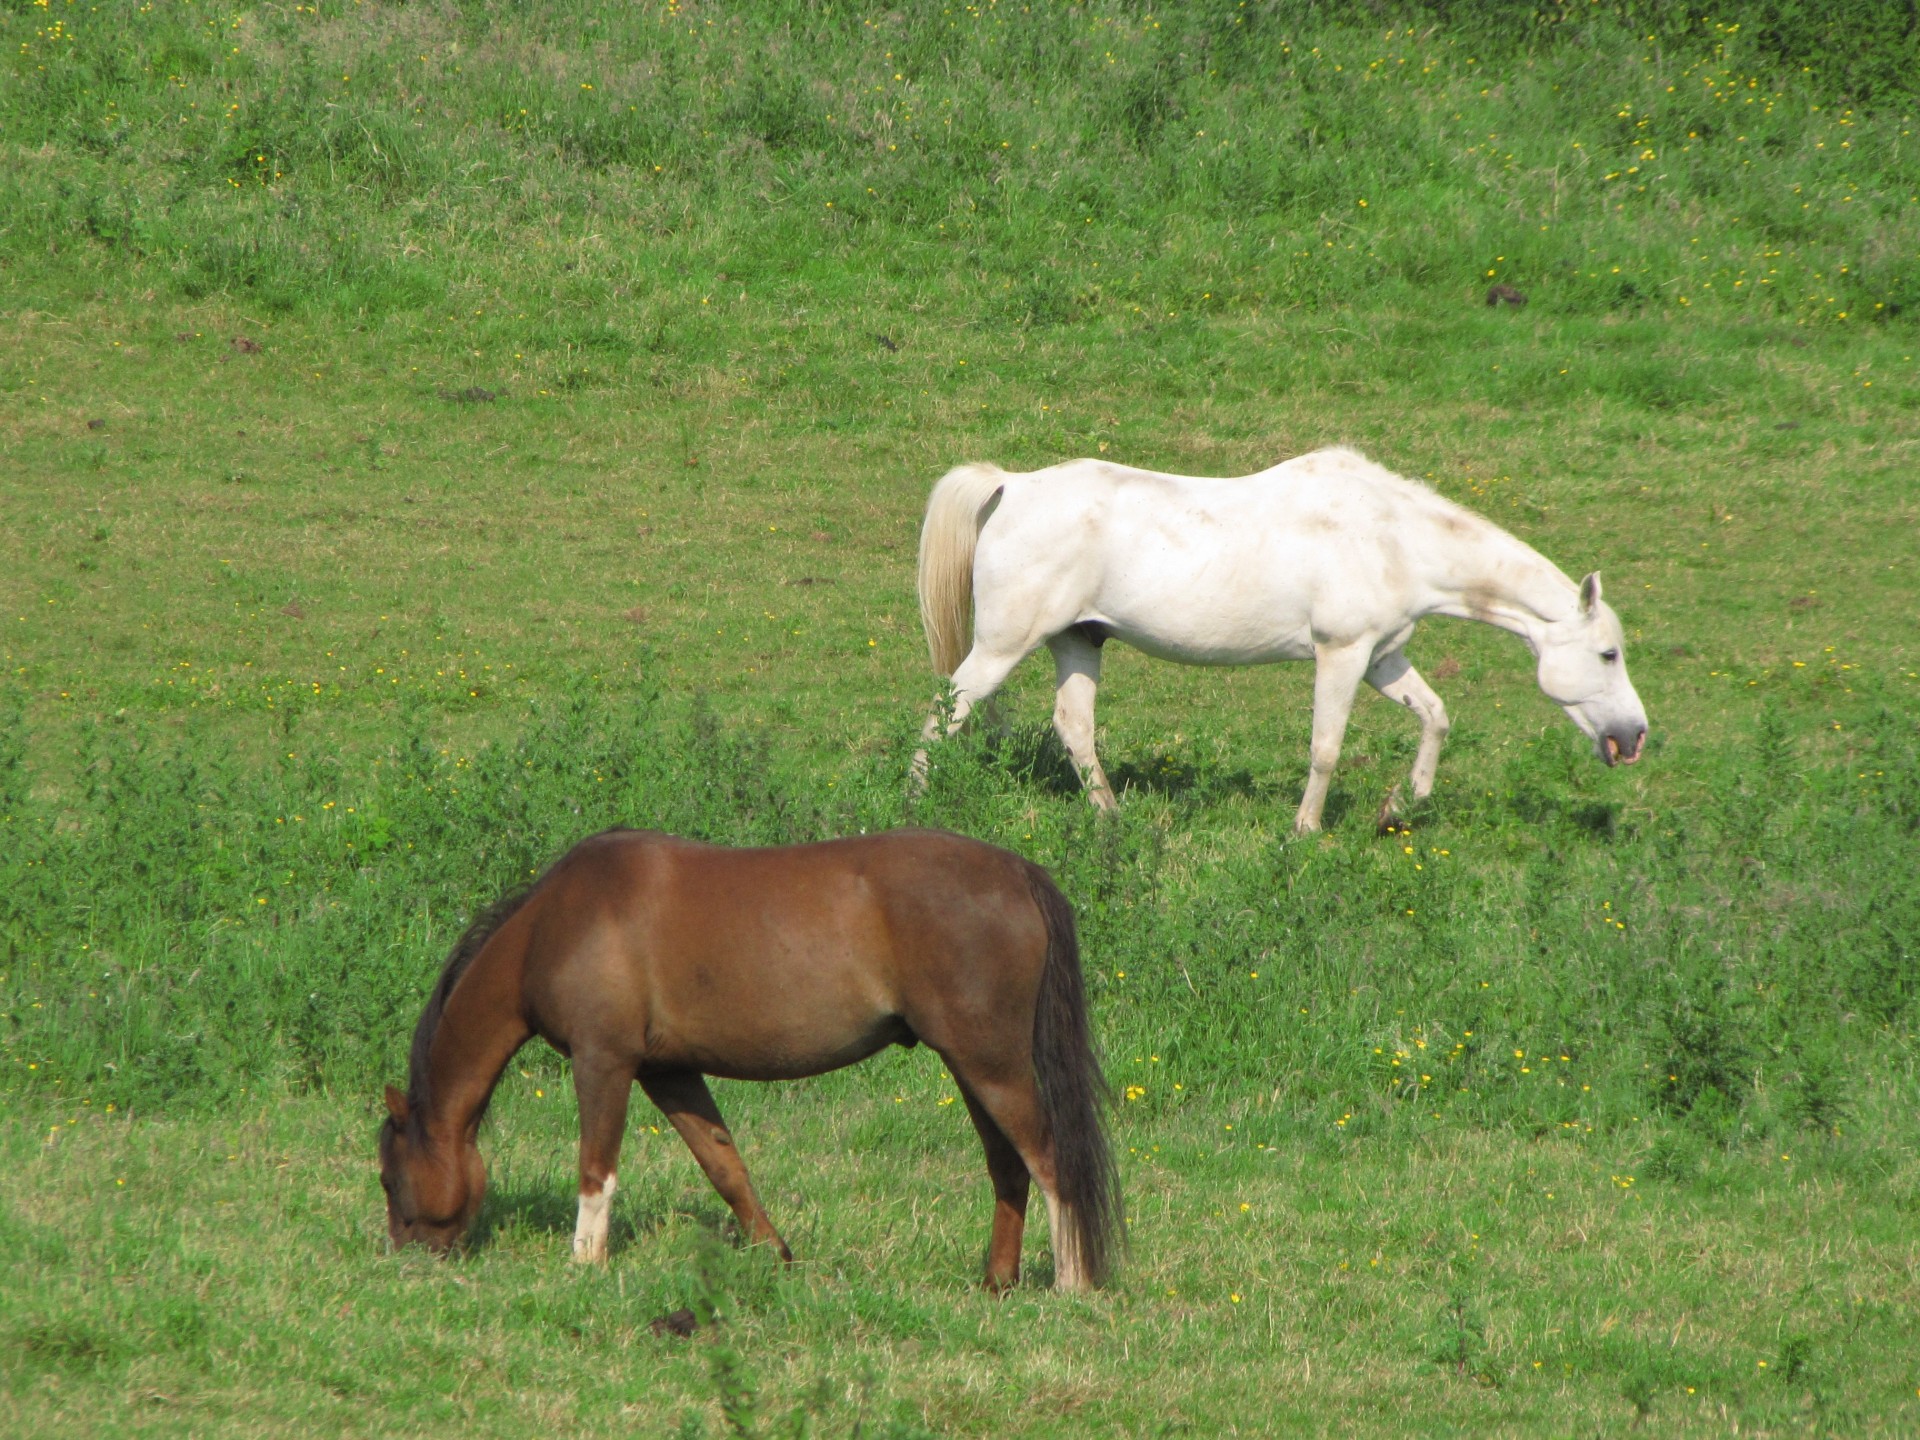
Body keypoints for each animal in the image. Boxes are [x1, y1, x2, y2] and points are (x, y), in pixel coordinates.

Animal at [374, 829, 1121, 1290]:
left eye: (388, 1177)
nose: (405, 1262)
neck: (557, 922)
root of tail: (1018, 873)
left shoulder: (603, 1063)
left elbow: (595, 1170)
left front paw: (584, 1265)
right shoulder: (668, 1072)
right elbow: (723, 1166)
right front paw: (775, 1255)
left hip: (990, 1066)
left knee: (1051, 1163)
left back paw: (1071, 1284)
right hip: (974, 1069)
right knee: (1009, 1167)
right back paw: (998, 1282)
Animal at [913, 449, 1651, 833]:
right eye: (1608, 654)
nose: (1634, 737)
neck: (1393, 538)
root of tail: (1013, 486)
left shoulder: (1383, 658)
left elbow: (1436, 717)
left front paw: (1397, 807)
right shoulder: (1342, 654)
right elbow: (1326, 748)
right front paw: (1307, 830)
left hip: (1078, 640)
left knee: (1073, 726)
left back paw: (1113, 819)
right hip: (1005, 646)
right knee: (944, 712)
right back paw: (916, 804)